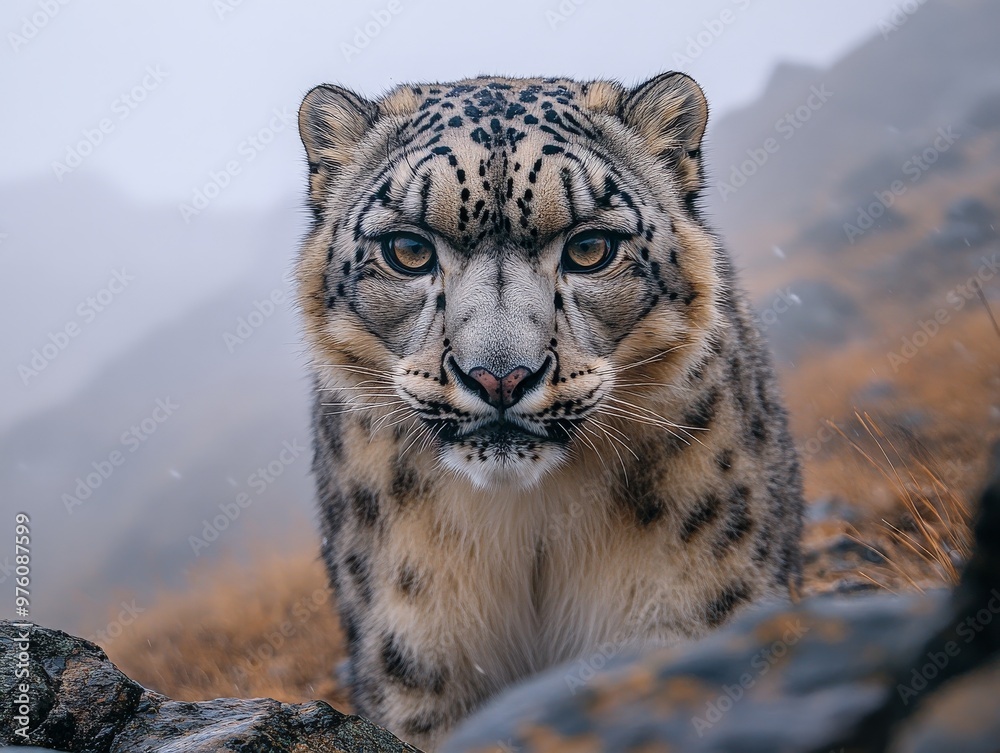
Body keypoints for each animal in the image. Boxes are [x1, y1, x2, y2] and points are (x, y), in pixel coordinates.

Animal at [294, 71, 804, 750]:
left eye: (590, 247)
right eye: (407, 249)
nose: (500, 376)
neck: (528, 527)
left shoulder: (694, 607)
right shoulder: (416, 667)